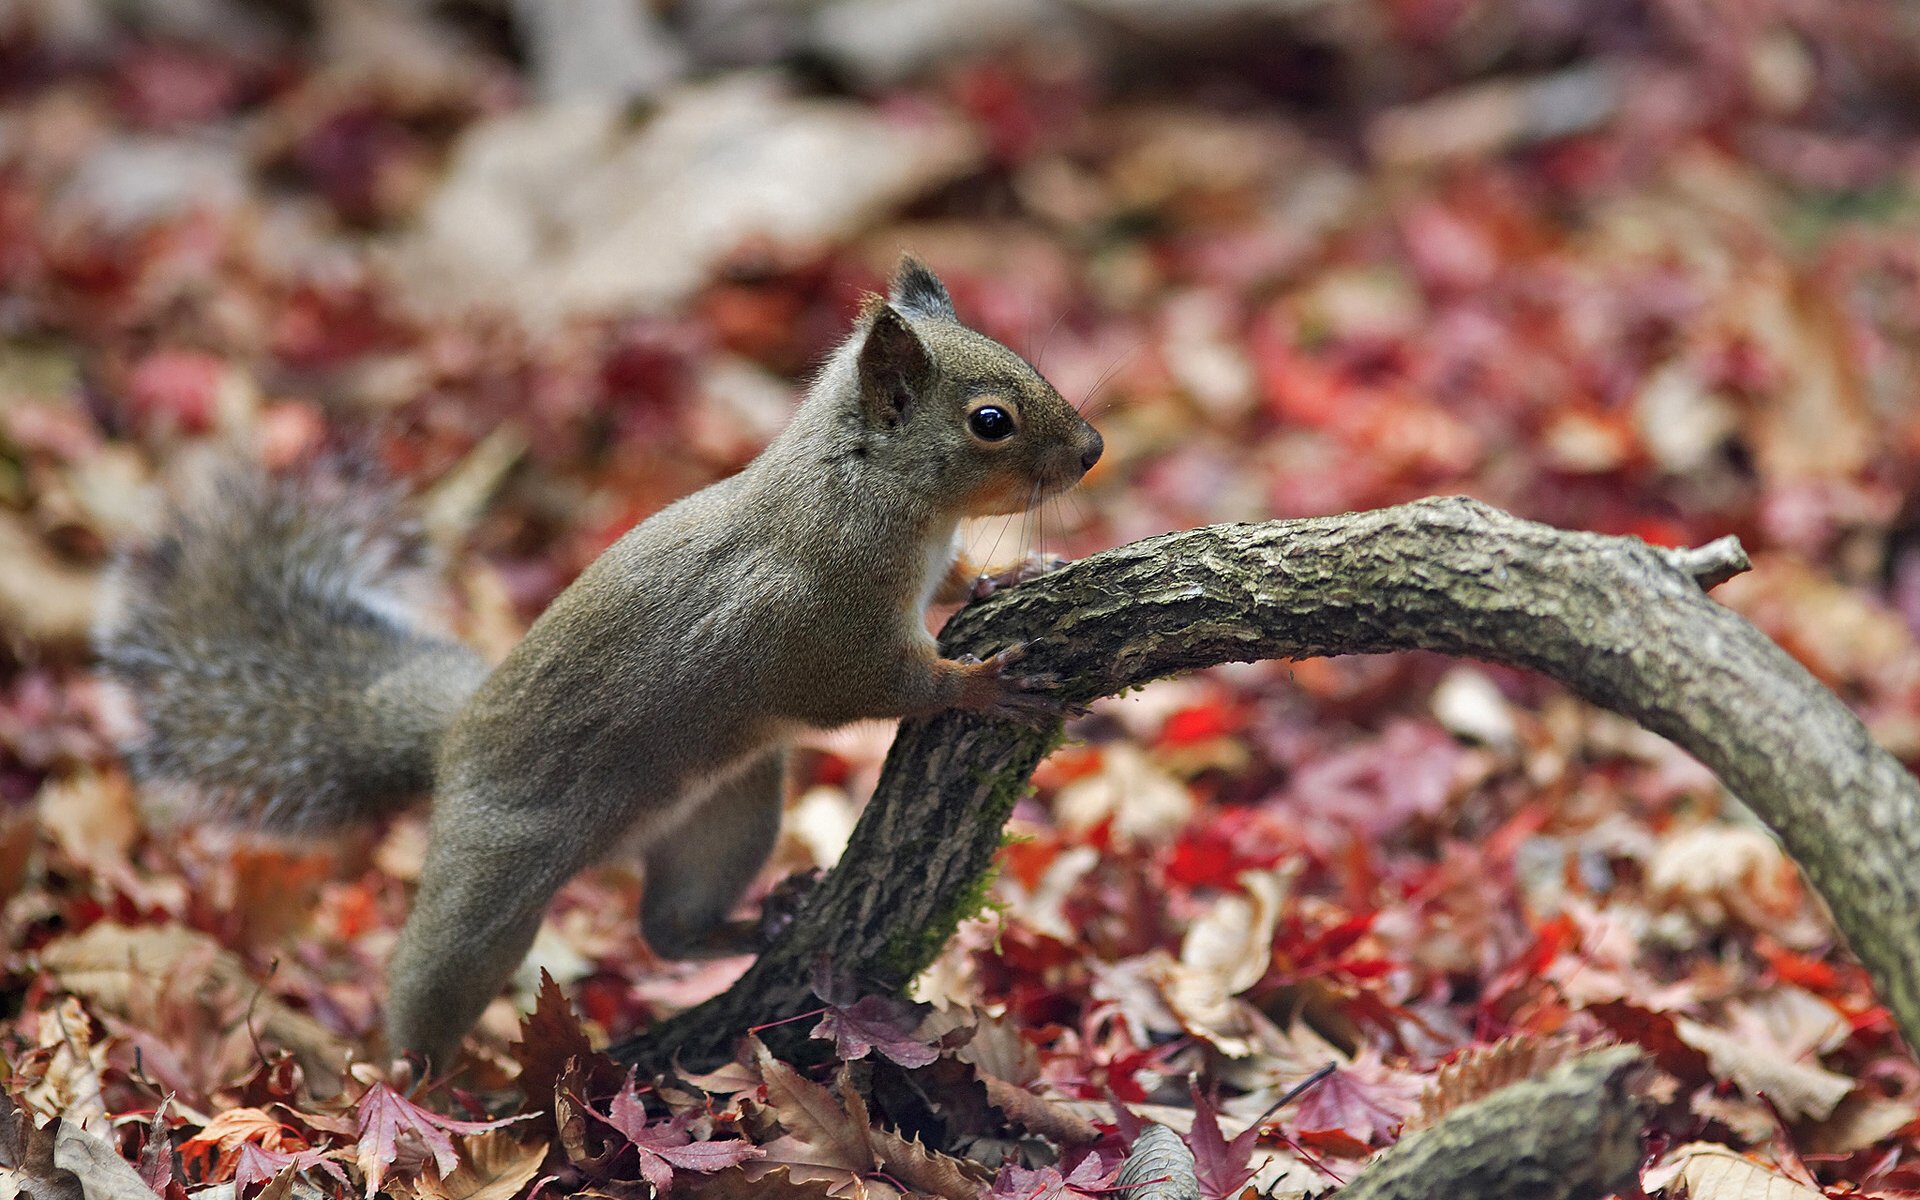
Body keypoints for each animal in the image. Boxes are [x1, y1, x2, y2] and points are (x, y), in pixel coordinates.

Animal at [95, 258, 1104, 1071]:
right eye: (990, 421)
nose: (1094, 451)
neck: (866, 487)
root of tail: (451, 743)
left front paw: (1013, 572)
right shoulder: (820, 628)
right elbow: (875, 687)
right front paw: (981, 684)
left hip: (727, 814)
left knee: (669, 929)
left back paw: (760, 919)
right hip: (494, 877)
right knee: (434, 973)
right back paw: (416, 1091)